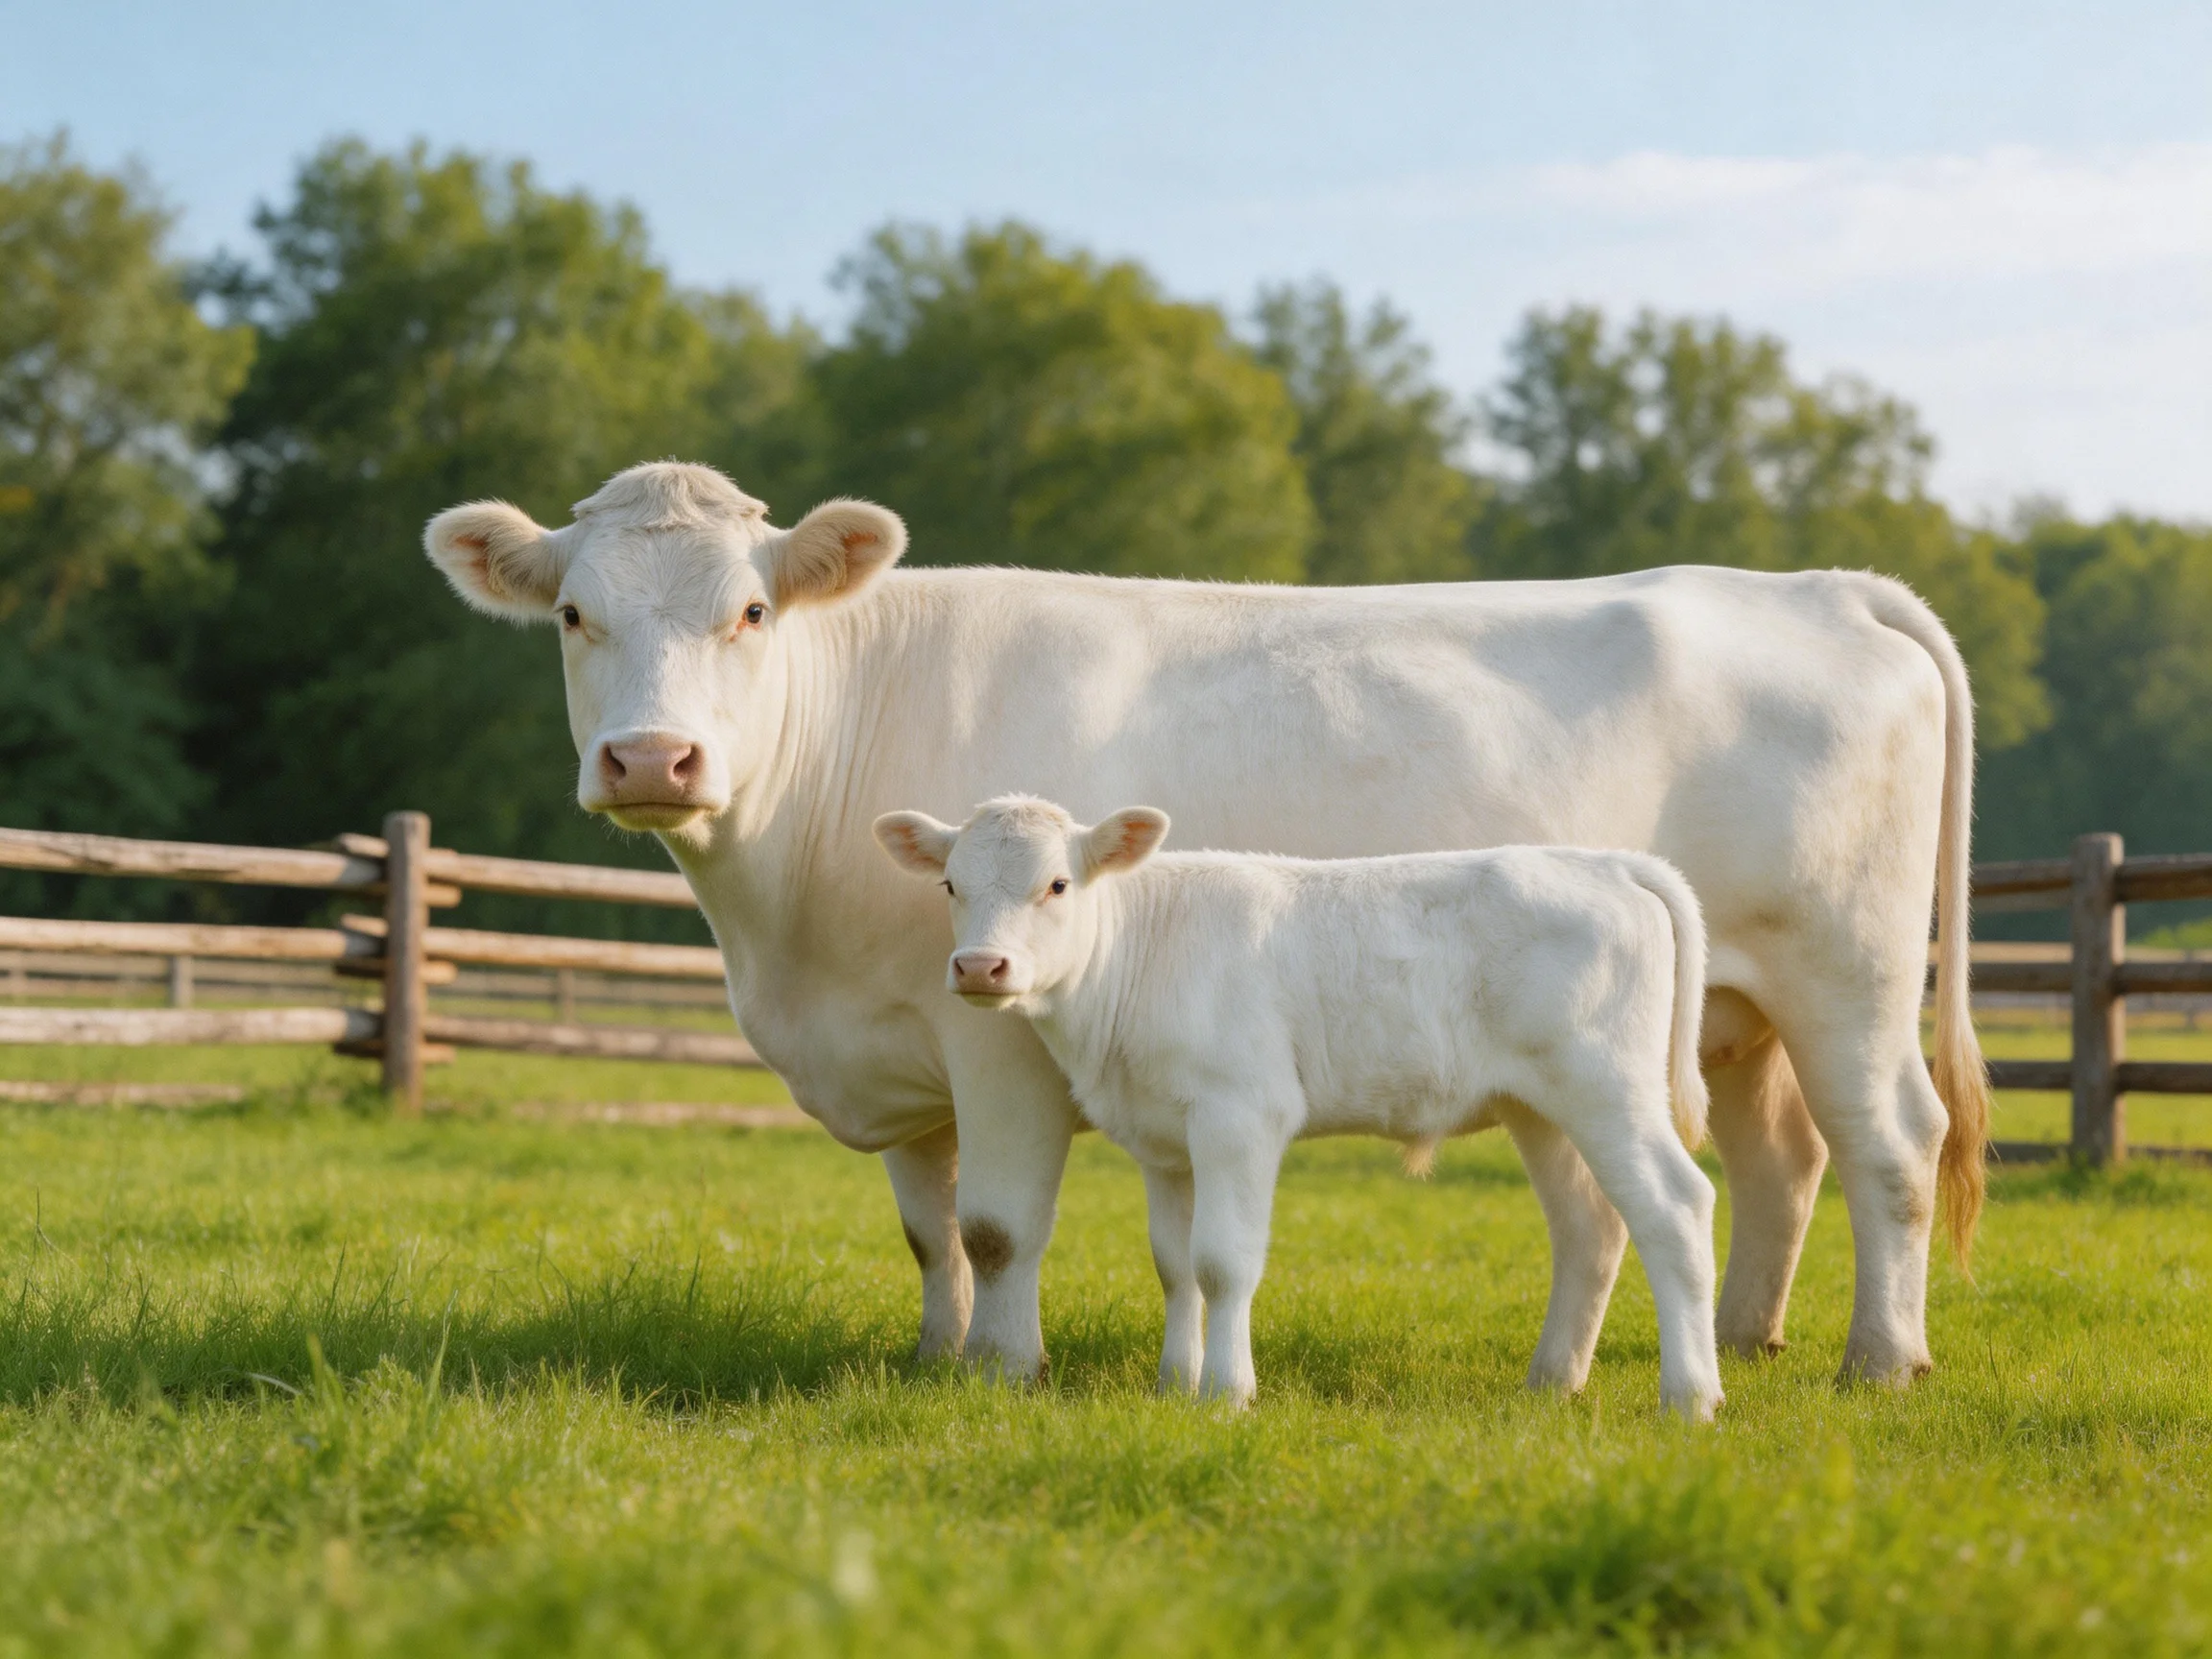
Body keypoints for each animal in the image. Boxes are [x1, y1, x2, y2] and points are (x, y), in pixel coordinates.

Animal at [874, 796, 1724, 1418]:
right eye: (951, 885)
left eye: (1056, 884)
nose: (980, 966)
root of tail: (1608, 862)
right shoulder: (1164, 1141)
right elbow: (1175, 1265)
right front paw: (1174, 1384)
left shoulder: (1241, 1115)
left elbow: (1223, 1262)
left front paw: (1226, 1394)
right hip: (1540, 1107)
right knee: (1591, 1225)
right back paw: (1551, 1382)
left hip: (1608, 1084)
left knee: (1676, 1207)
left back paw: (1690, 1397)